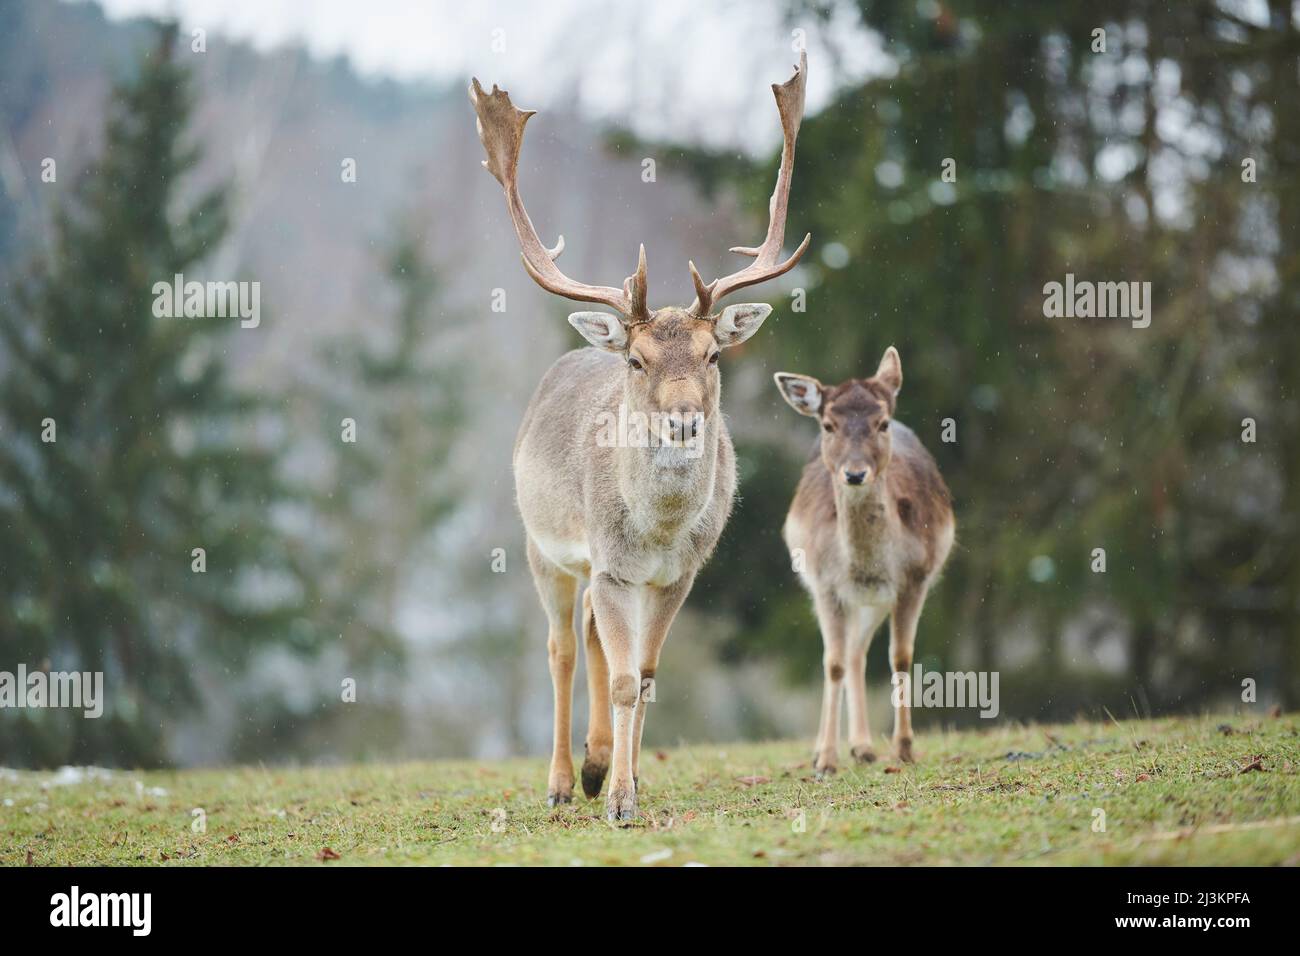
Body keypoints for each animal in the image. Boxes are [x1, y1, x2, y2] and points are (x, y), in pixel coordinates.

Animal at [469, 53, 811, 820]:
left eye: (713, 355)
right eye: (638, 360)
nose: (683, 418)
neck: (656, 532)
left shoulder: (678, 574)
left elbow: (645, 675)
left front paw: (627, 782)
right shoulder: (611, 565)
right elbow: (622, 678)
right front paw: (620, 801)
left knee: (597, 643)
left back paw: (597, 765)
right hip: (544, 548)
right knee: (563, 649)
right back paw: (564, 782)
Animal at [774, 350, 954, 776]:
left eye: (882, 423)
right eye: (828, 424)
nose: (855, 474)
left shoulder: (914, 579)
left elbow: (901, 656)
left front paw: (904, 749)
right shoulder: (825, 585)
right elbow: (832, 663)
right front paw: (825, 760)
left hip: (876, 600)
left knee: (858, 650)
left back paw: (864, 747)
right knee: (848, 653)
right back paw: (846, 748)